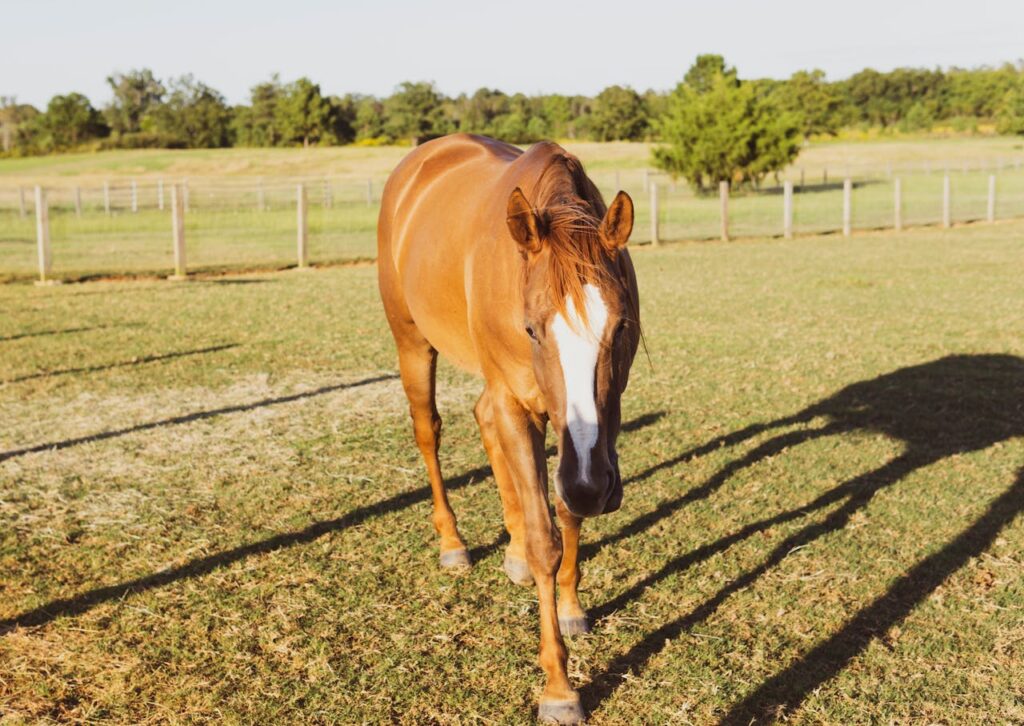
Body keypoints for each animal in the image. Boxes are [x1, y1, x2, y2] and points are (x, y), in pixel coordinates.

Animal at [376, 133, 638, 720]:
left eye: (621, 327)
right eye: (532, 329)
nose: (594, 486)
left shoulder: (588, 435)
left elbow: (567, 510)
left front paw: (570, 605)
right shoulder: (525, 408)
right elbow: (546, 539)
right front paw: (559, 688)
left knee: (484, 421)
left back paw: (511, 551)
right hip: (413, 343)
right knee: (428, 431)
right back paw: (453, 543)